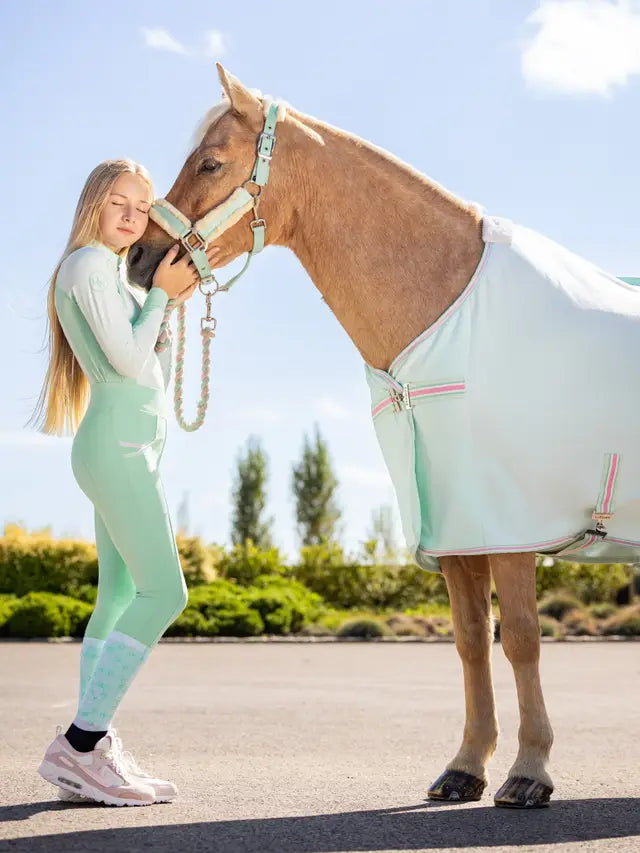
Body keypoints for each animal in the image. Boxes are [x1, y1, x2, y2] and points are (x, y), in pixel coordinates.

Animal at [128, 64, 640, 809]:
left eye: (212, 162)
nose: (138, 258)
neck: (444, 297)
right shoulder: (456, 529)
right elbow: (470, 639)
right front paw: (465, 766)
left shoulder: (508, 524)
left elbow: (519, 637)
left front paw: (529, 771)